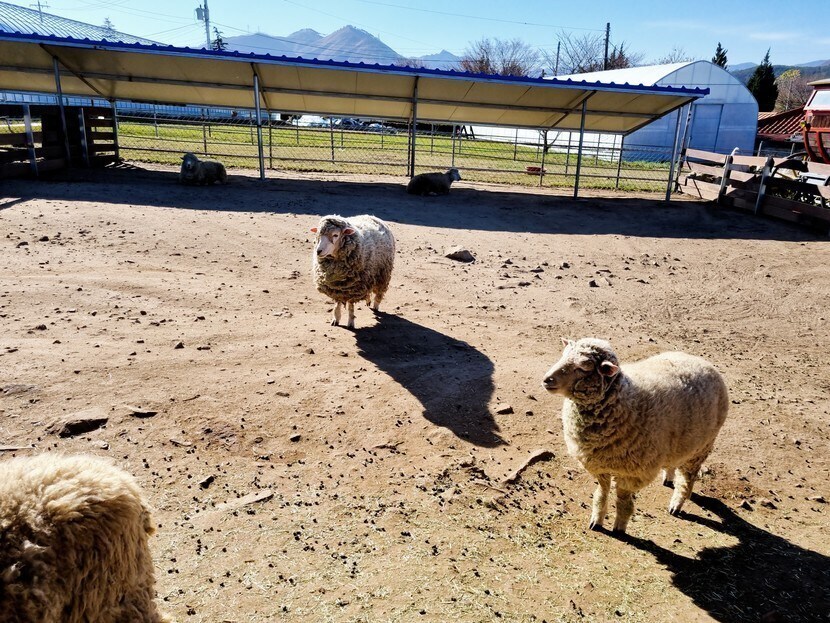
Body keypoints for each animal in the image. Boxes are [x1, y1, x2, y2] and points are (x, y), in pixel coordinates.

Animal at [542, 338, 728, 533]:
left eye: (584, 367)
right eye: (563, 356)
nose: (547, 380)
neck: (624, 401)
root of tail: (703, 362)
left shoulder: (632, 472)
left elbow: (622, 499)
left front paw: (620, 527)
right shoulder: (599, 465)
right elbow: (602, 493)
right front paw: (596, 520)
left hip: (702, 447)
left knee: (687, 478)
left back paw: (676, 504)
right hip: (679, 442)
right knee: (673, 462)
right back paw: (669, 478)